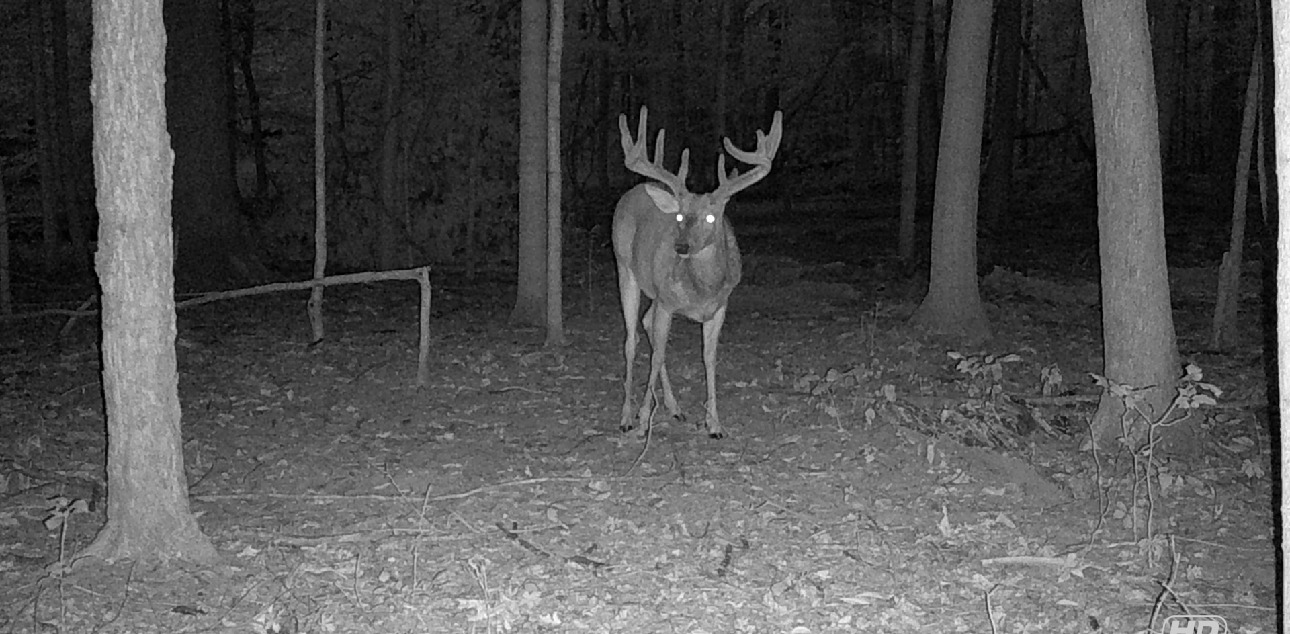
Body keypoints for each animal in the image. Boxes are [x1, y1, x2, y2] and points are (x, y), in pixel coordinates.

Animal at [613, 105, 783, 439]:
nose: (681, 246)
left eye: (710, 217)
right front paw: (642, 419)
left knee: (646, 324)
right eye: (679, 215)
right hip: (625, 267)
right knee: (631, 339)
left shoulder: (719, 307)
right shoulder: (667, 301)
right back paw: (627, 415)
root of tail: (634, 190)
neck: (702, 288)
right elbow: (657, 355)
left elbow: (708, 358)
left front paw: (714, 423)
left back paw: (674, 407)